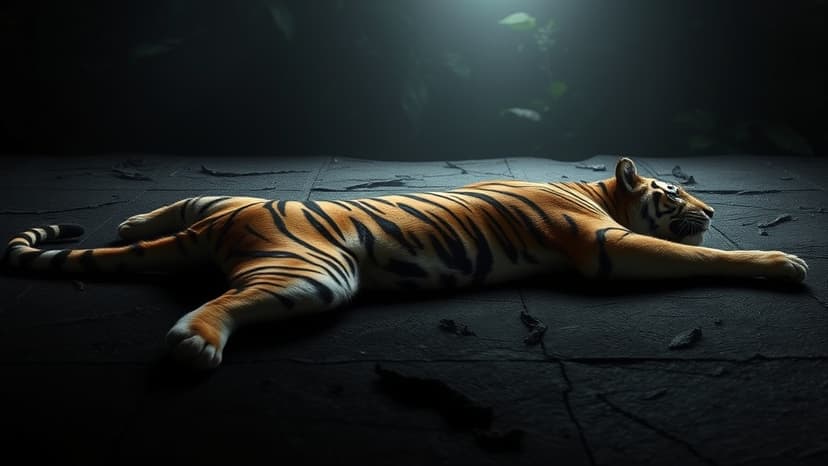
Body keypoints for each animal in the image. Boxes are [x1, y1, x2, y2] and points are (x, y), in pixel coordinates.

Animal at [2, 157, 808, 369]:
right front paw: (781, 261)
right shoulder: (604, 247)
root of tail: (227, 221)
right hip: (315, 274)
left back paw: (136, 219)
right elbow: (684, 254)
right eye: (675, 193)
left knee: (172, 211)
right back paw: (195, 342)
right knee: (216, 305)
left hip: (219, 198)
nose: (711, 208)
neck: (595, 190)